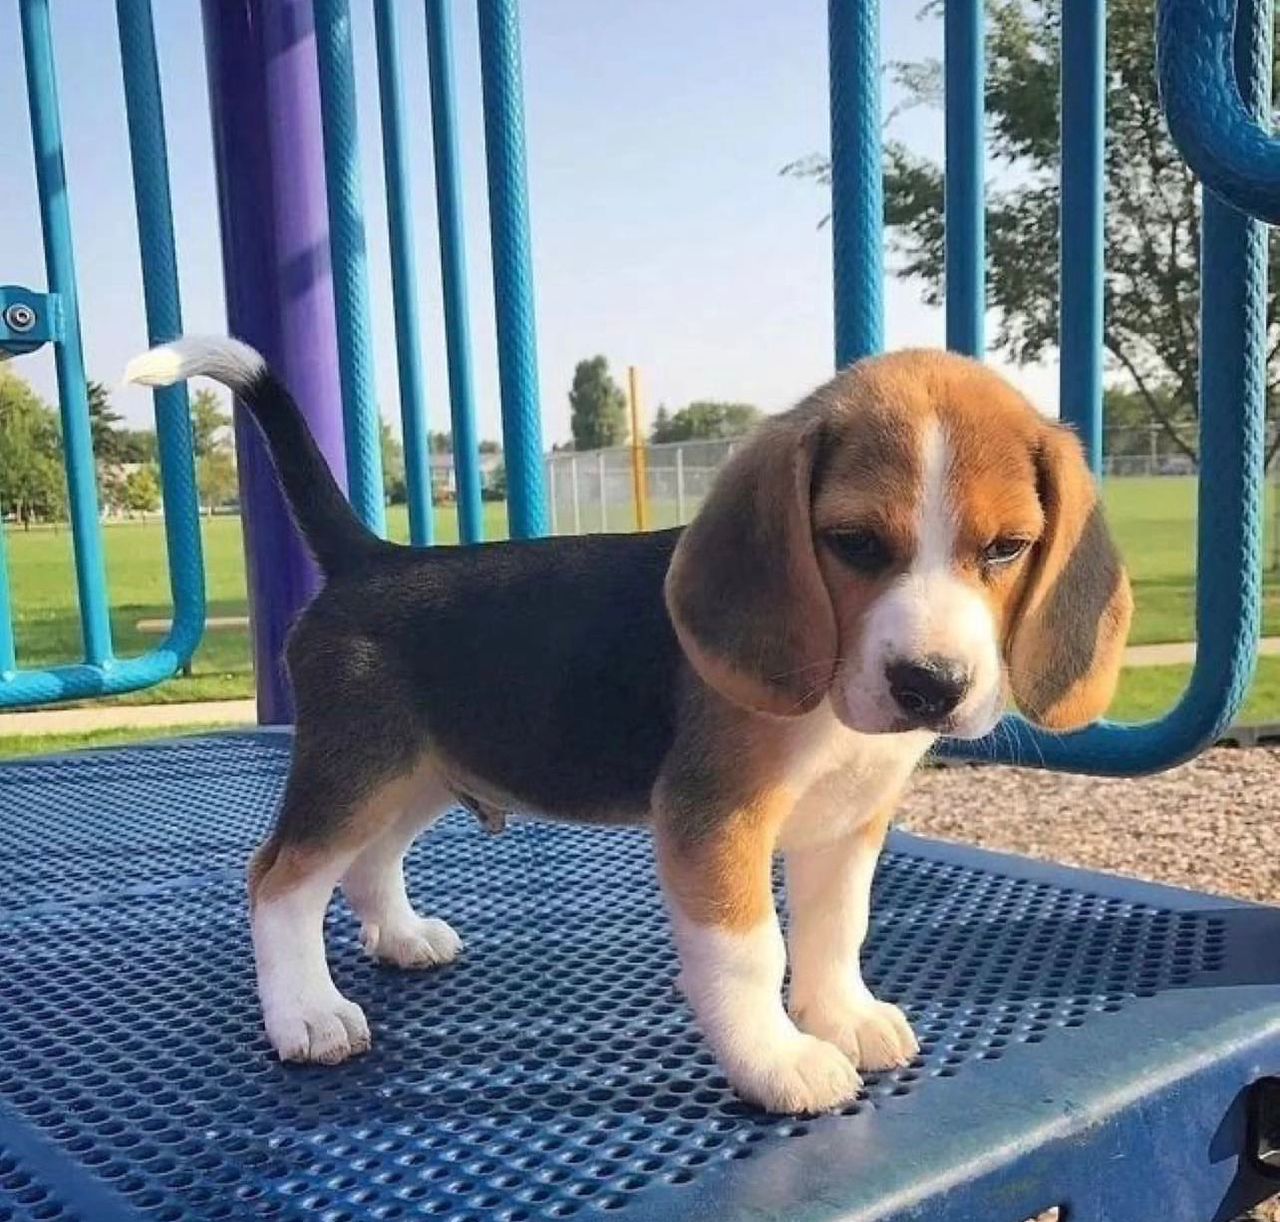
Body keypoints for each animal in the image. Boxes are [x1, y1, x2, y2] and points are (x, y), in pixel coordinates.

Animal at [127, 337, 1131, 1115]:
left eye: (1006, 548)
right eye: (853, 544)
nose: (930, 685)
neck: (832, 704)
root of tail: (372, 560)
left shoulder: (847, 825)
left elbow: (834, 930)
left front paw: (843, 1016)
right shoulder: (714, 820)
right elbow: (752, 954)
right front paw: (779, 1062)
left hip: (417, 772)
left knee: (368, 863)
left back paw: (401, 938)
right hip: (356, 769)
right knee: (280, 882)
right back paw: (305, 1012)